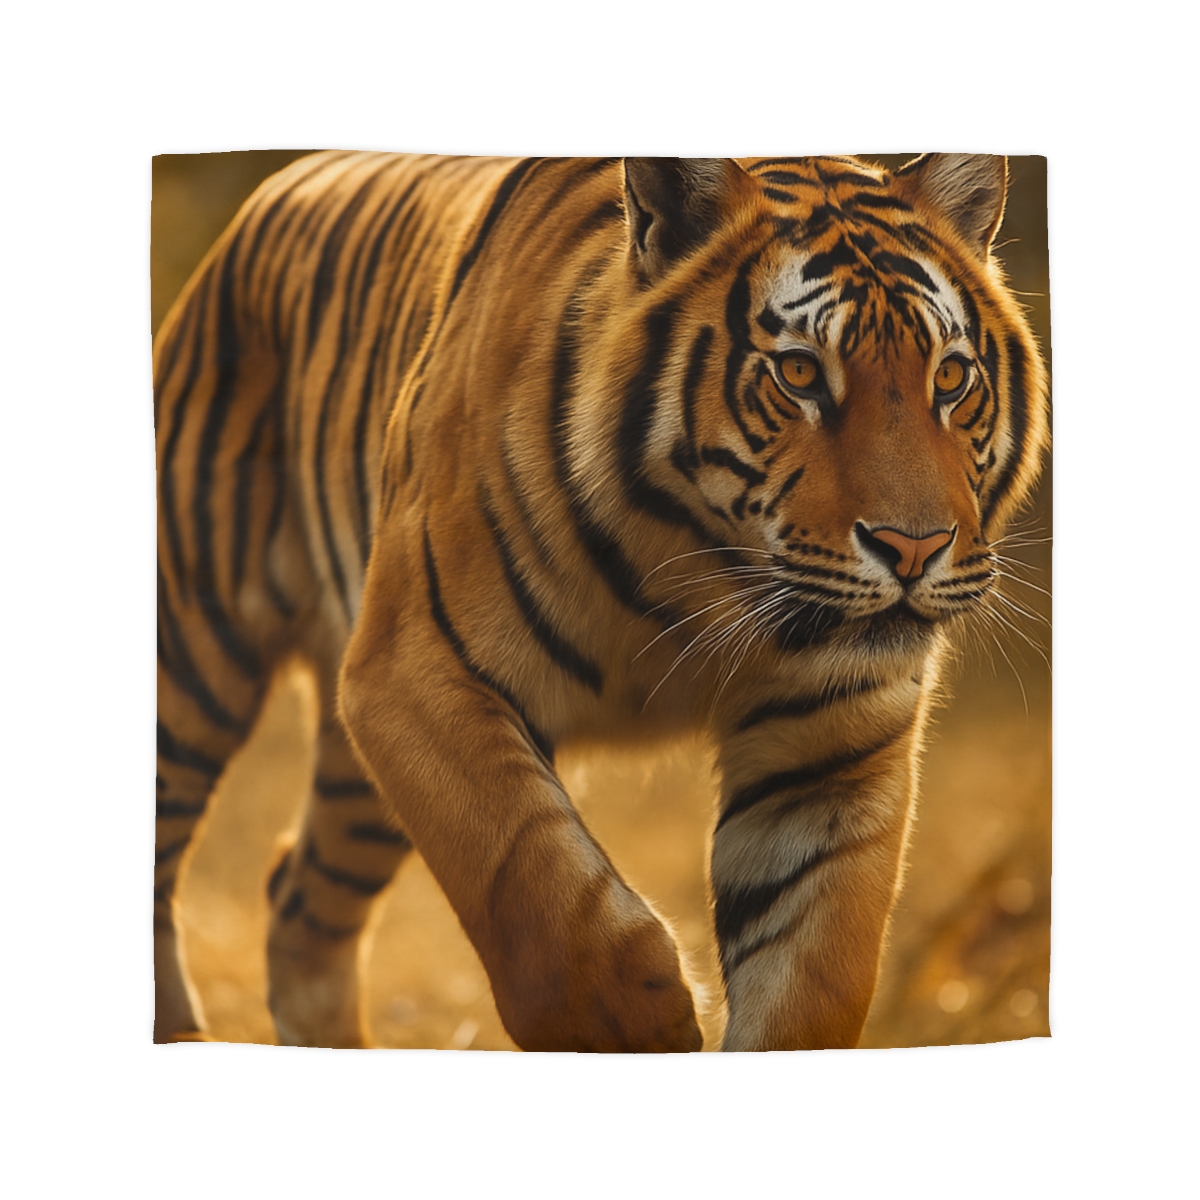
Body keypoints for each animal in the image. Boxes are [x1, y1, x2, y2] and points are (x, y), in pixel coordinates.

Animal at [154, 153, 1048, 1051]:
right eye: (798, 373)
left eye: (950, 377)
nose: (914, 549)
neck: (700, 573)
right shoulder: (411, 673)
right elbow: (531, 883)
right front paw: (644, 1027)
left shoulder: (831, 742)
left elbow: (814, 979)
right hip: (192, 658)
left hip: (355, 792)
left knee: (300, 902)